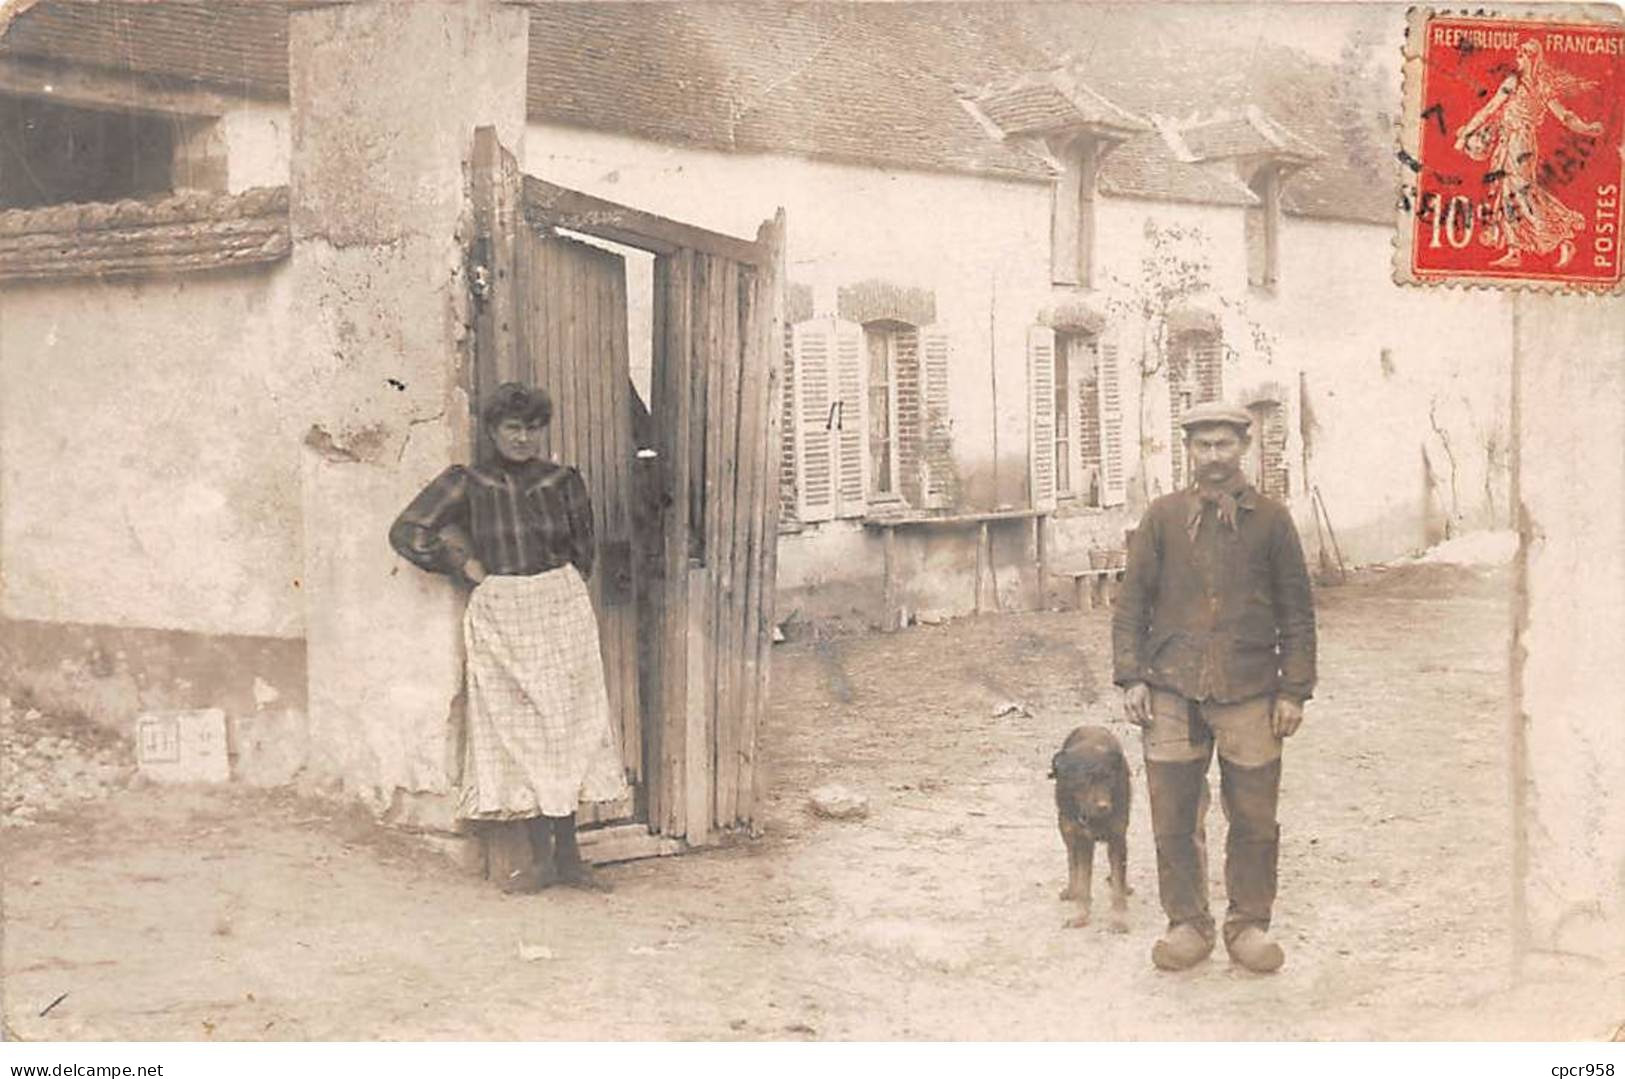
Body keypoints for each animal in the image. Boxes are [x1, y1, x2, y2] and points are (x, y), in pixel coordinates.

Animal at [1053, 728, 1131, 929]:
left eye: (1109, 779)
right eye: (1085, 780)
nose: (1104, 806)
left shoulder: (1117, 838)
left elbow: (1118, 882)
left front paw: (1119, 919)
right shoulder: (1082, 839)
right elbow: (1083, 881)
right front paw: (1081, 915)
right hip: (1065, 827)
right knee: (1071, 860)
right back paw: (1071, 890)